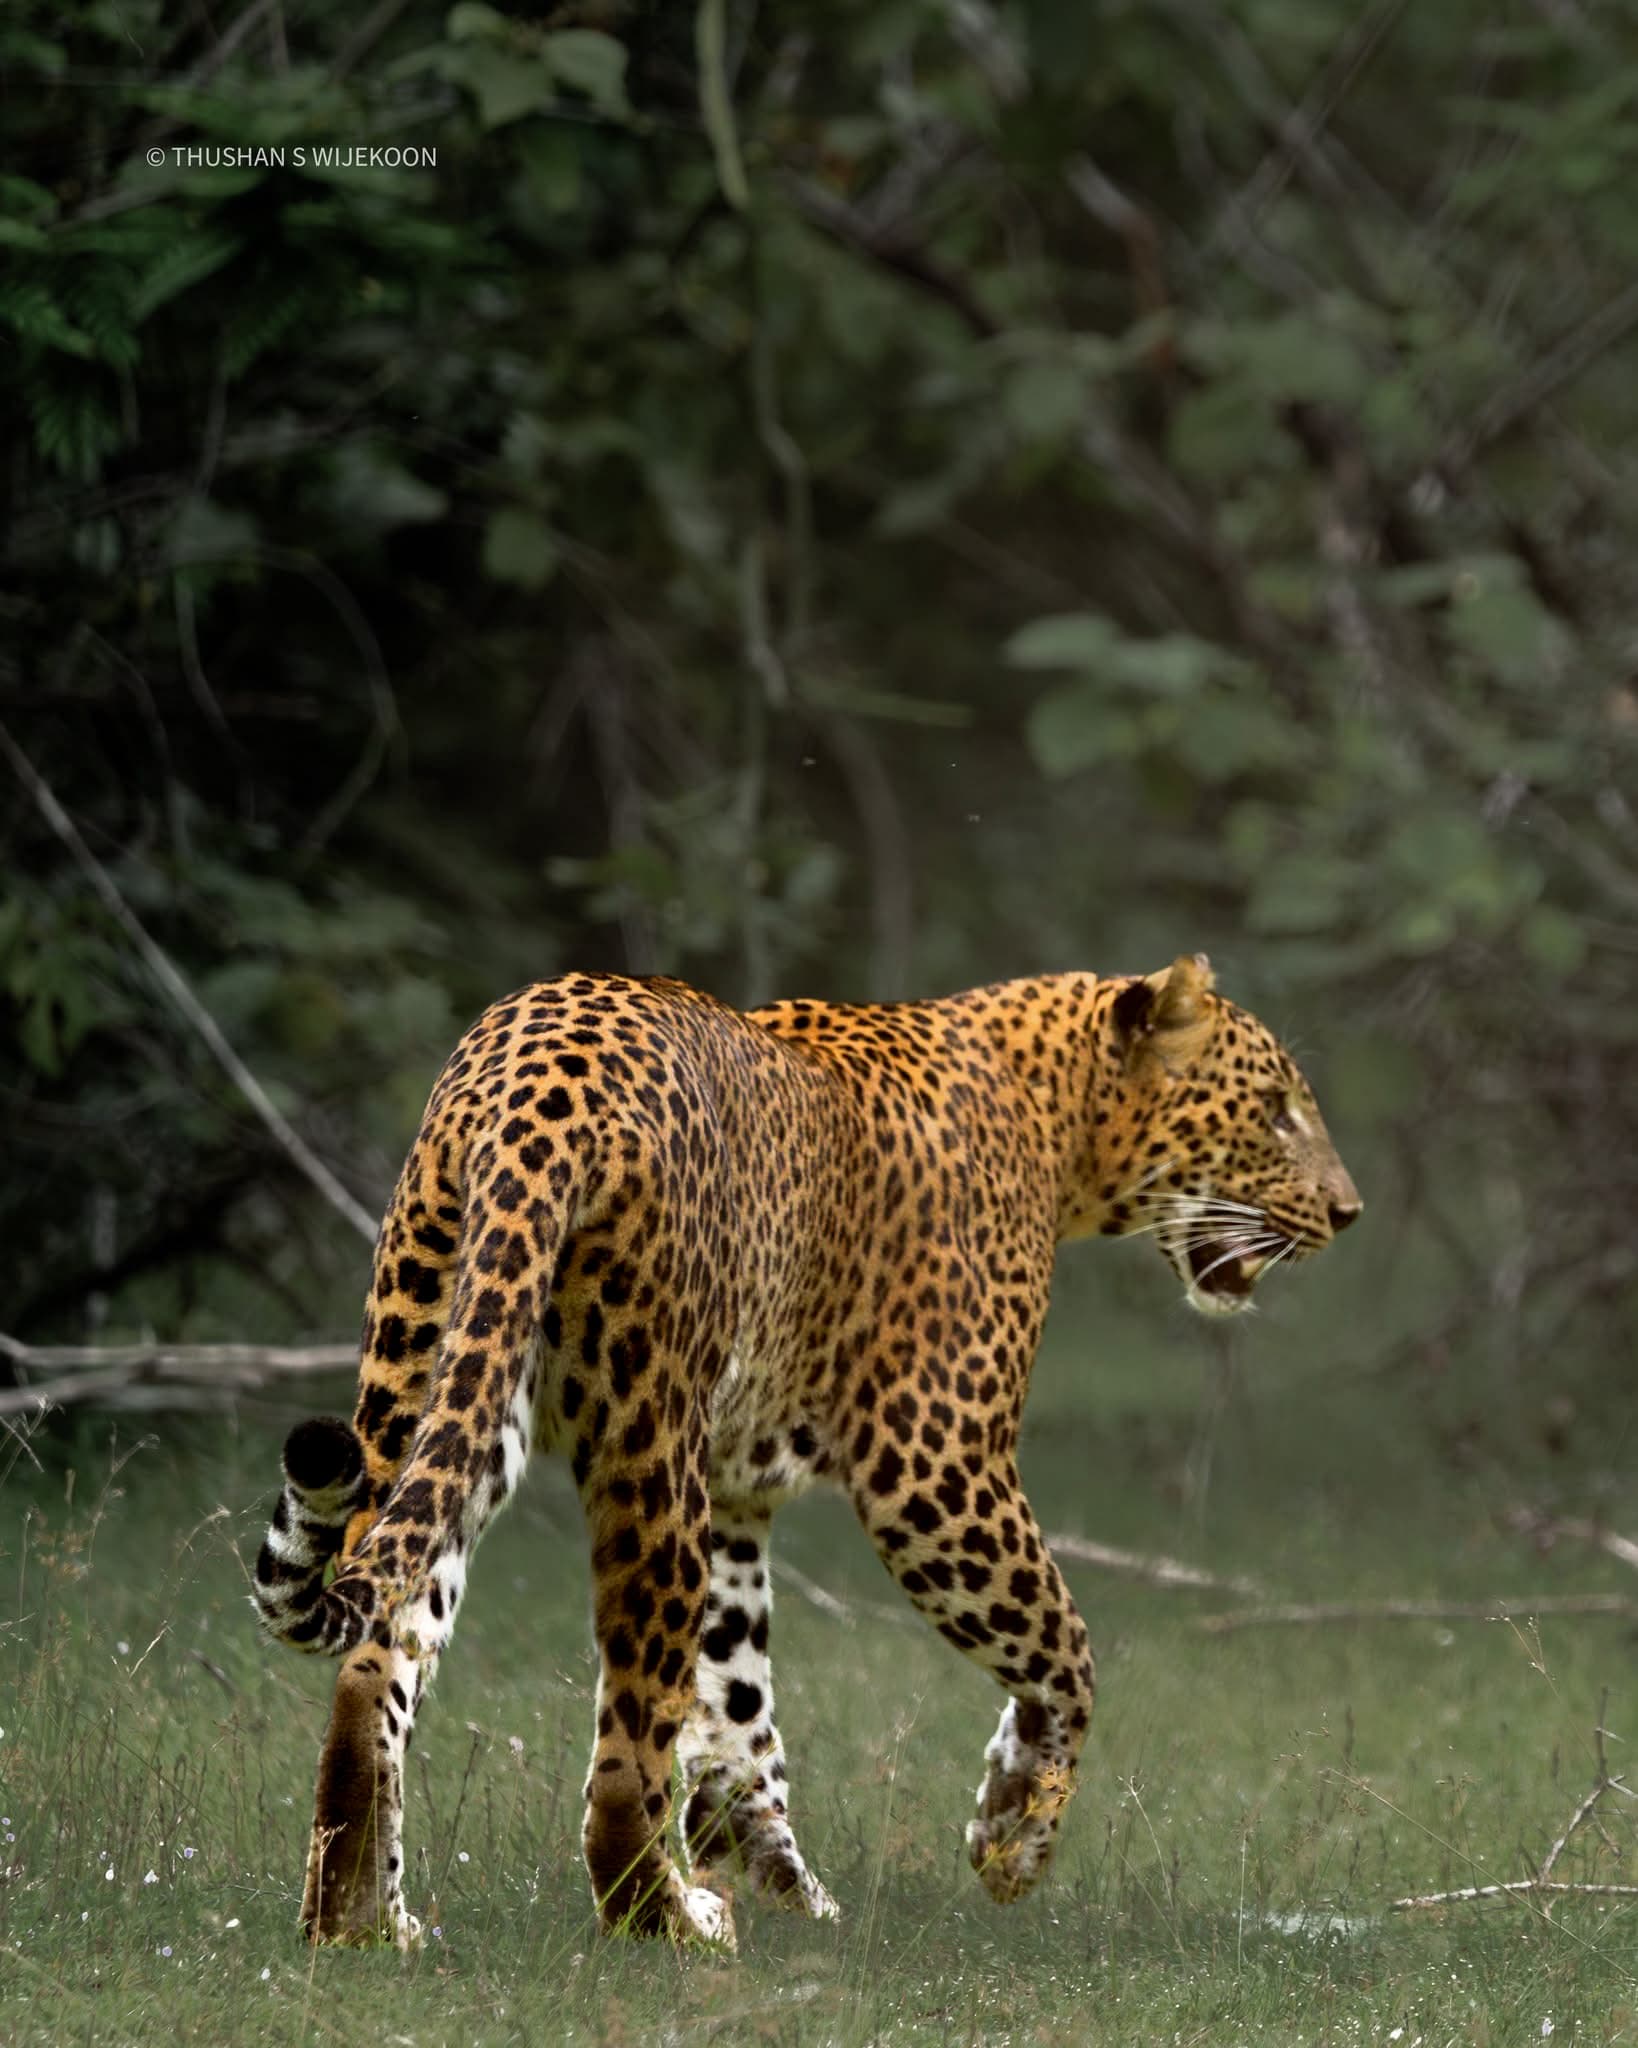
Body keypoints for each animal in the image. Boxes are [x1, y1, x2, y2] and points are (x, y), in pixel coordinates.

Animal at [253, 953, 1359, 1951]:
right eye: (1274, 1112)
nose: (1348, 1213)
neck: (1059, 1116)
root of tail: (534, 1072)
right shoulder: (937, 1457)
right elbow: (1064, 1648)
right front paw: (1012, 1835)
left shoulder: (740, 1496)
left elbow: (739, 1703)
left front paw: (780, 1877)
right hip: (651, 1439)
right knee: (622, 1753)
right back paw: (668, 1919)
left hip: (432, 1384)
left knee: (375, 1651)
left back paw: (359, 1918)